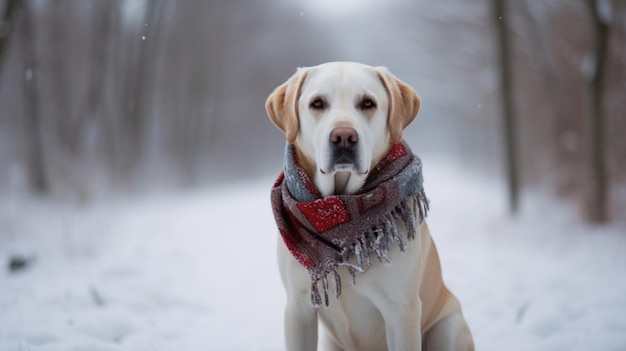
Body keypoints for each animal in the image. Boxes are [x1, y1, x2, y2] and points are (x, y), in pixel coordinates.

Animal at [264, 62, 472, 350]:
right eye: (317, 103)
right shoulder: (298, 308)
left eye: (367, 103)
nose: (343, 137)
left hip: (448, 327)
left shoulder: (402, 312)